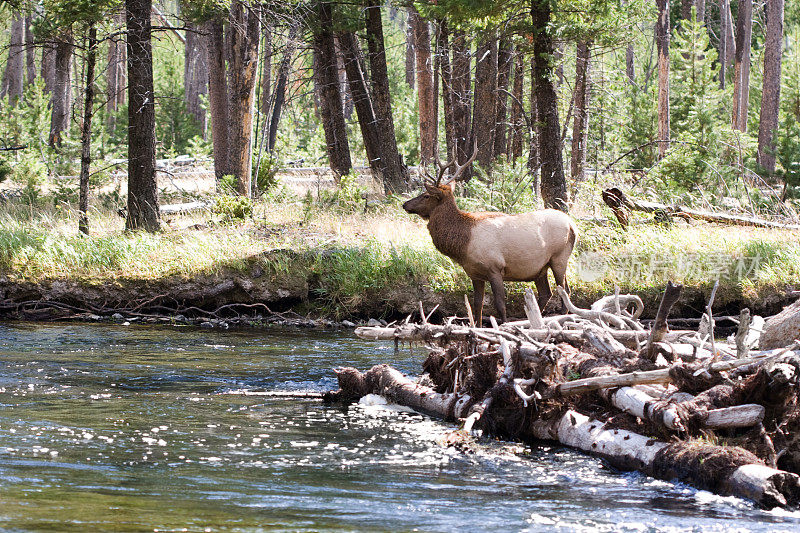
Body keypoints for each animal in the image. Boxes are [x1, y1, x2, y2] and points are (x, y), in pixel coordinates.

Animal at [404, 150, 580, 324]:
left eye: (426, 195)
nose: (405, 204)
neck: (463, 244)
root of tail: (572, 225)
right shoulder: (475, 274)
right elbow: (477, 304)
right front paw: (477, 325)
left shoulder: (495, 268)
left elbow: (500, 303)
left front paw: (503, 324)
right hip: (539, 268)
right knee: (546, 293)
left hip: (559, 257)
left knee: (565, 290)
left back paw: (562, 316)